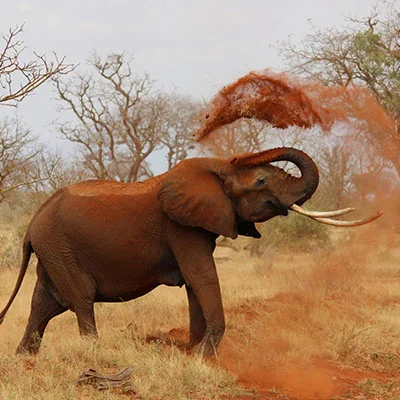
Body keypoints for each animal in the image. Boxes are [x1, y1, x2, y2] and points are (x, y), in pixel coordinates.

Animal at [0, 147, 380, 356]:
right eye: (260, 182)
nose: (240, 153)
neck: (217, 170)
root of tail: (32, 221)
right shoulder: (181, 228)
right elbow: (203, 277)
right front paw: (205, 355)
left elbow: (195, 284)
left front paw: (193, 351)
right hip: (60, 247)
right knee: (79, 299)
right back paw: (93, 352)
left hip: (53, 249)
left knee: (45, 303)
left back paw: (24, 358)